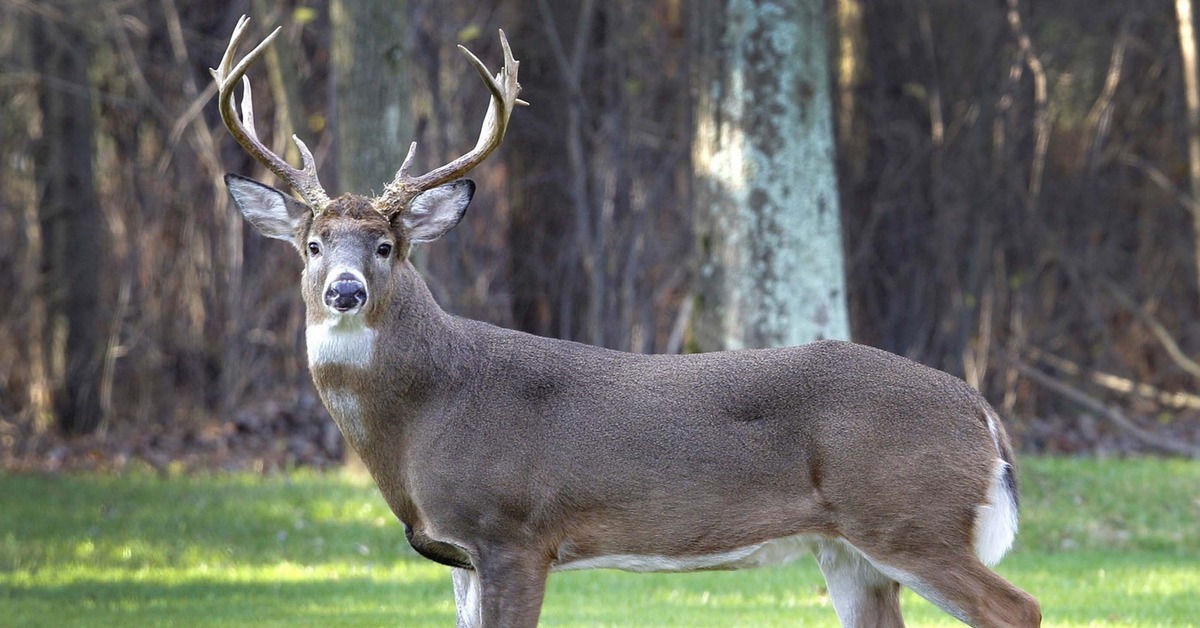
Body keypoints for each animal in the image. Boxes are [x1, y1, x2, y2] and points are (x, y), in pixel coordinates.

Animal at [213, 17, 1041, 624]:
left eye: (386, 246)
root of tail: (984, 413)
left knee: (1019, 608)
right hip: (850, 551)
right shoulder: (461, 556)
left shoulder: (516, 531)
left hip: (908, 516)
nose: (345, 292)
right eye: (312, 246)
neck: (424, 415)